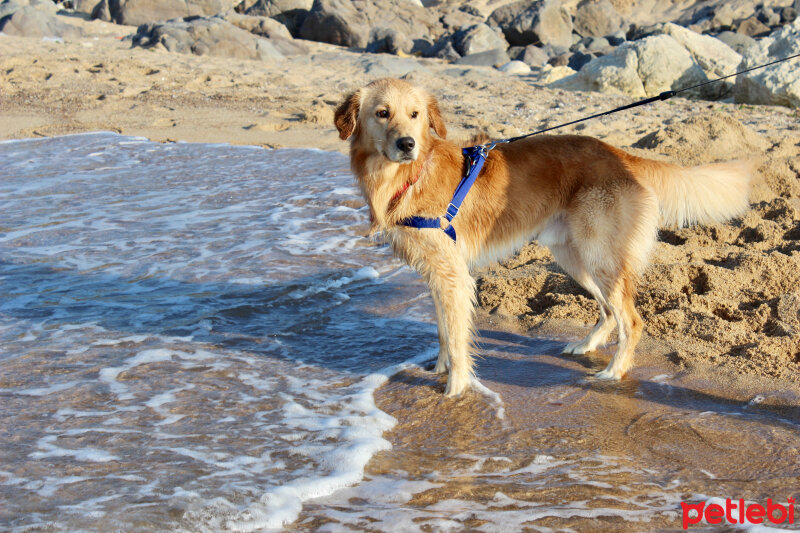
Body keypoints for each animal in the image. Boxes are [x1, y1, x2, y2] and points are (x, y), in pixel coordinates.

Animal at [332, 78, 756, 394]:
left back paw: (613, 372)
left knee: (631, 320)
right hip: (574, 256)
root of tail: (620, 154)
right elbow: (442, 331)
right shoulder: (437, 275)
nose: (407, 144)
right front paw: (439, 369)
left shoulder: (453, 276)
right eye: (382, 113)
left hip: (598, 255)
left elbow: (455, 337)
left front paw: (456, 389)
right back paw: (585, 346)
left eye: (415, 114)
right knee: (608, 312)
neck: (409, 174)